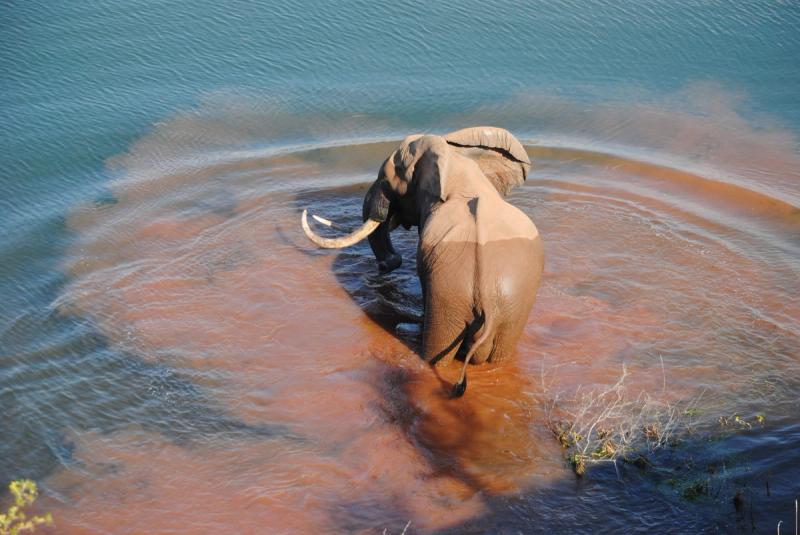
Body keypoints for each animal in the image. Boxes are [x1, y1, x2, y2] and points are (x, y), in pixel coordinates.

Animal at [301, 127, 544, 396]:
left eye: (386, 182)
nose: (386, 264)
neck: (455, 161)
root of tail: (489, 302)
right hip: (511, 307)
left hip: (452, 294)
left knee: (437, 357)